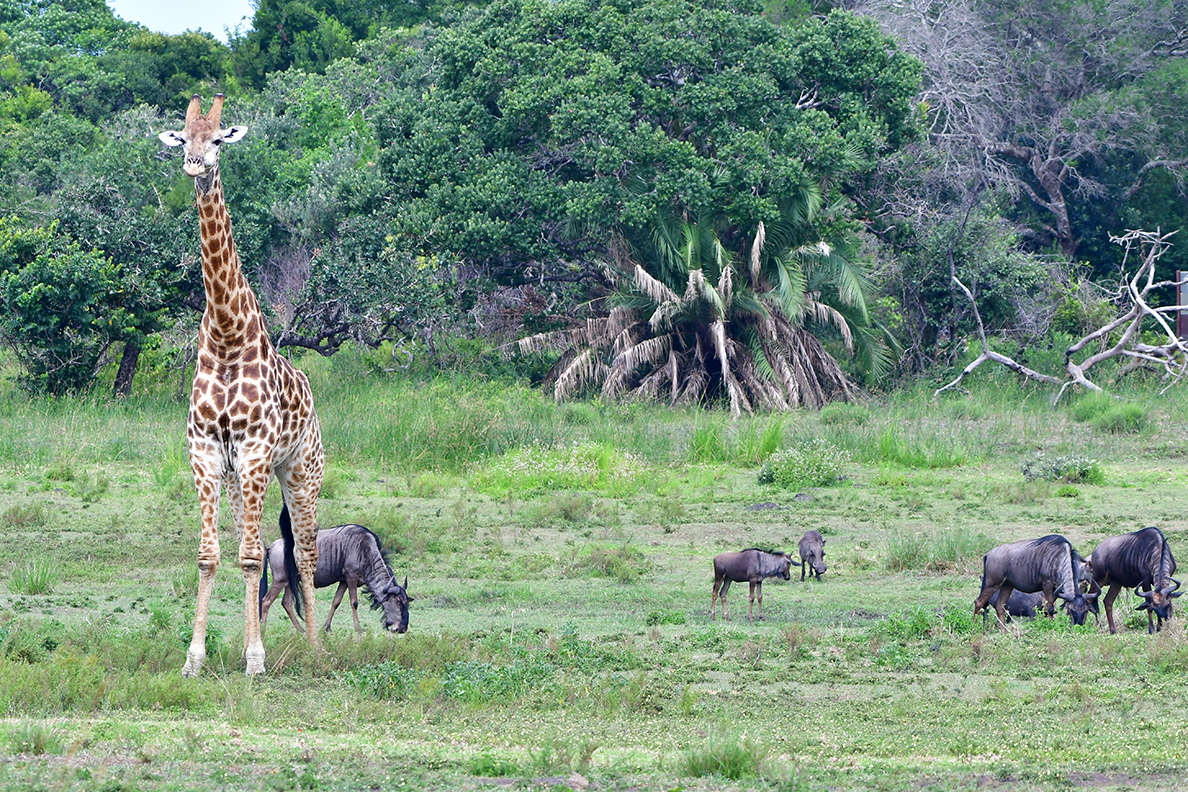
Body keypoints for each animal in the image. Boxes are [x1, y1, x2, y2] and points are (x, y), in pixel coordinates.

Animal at [159, 94, 323, 676]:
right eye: (183, 137)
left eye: (218, 139)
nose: (194, 165)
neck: (228, 335)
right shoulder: (208, 453)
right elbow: (212, 557)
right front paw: (196, 658)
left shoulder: (255, 451)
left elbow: (254, 557)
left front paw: (254, 660)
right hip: (240, 478)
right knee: (254, 547)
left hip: (300, 469)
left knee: (304, 552)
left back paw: (315, 648)